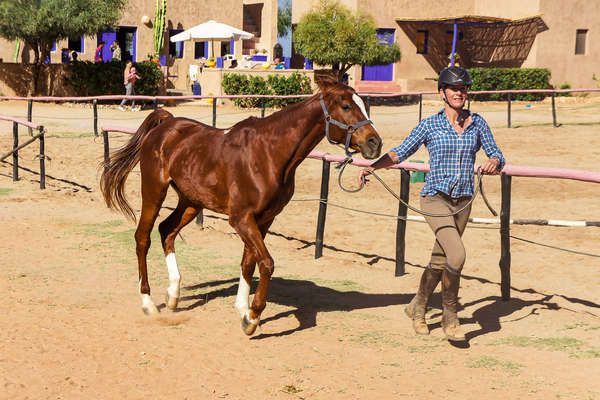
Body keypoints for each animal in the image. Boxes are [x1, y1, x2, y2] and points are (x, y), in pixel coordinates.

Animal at [98, 78, 380, 334]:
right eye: (346, 106)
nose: (375, 143)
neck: (268, 154)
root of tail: (167, 124)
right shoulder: (241, 218)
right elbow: (266, 263)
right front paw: (252, 317)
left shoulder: (264, 219)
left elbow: (248, 262)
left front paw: (243, 310)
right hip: (154, 192)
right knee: (142, 237)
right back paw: (148, 302)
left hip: (191, 202)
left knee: (167, 230)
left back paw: (173, 295)